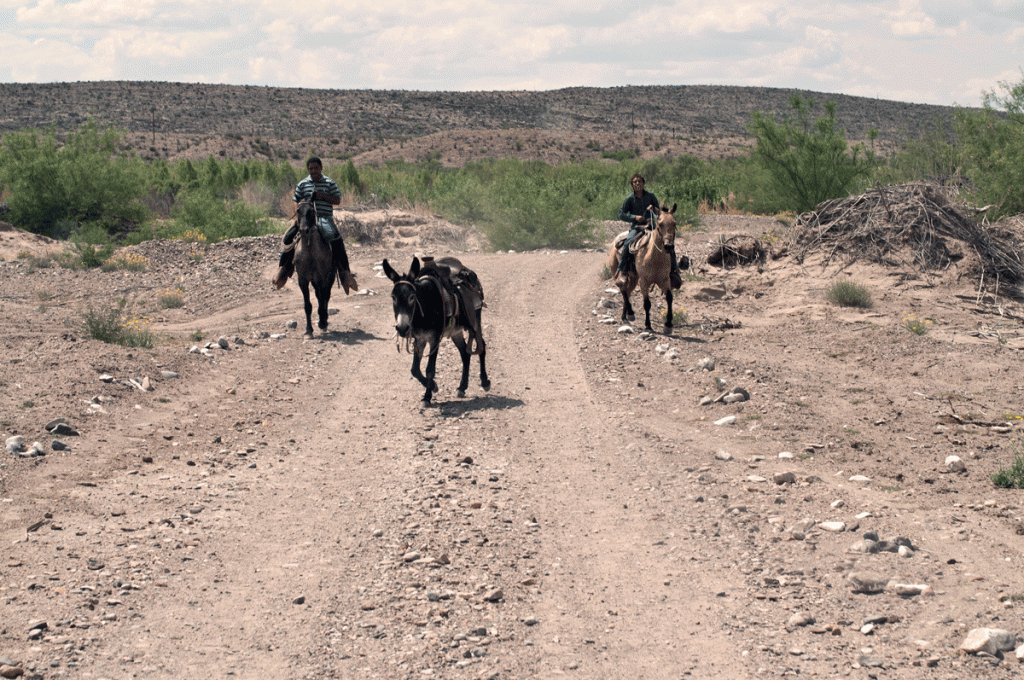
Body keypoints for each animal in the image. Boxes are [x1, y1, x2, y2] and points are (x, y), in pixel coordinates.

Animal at [606, 201, 679, 331]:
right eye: (660, 224)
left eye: (674, 223)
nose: (669, 246)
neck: (654, 258)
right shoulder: (644, 281)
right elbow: (647, 303)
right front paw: (648, 325)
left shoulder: (664, 280)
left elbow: (669, 298)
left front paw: (668, 325)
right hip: (617, 273)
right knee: (623, 289)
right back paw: (630, 313)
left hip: (633, 278)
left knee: (627, 292)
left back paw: (625, 316)